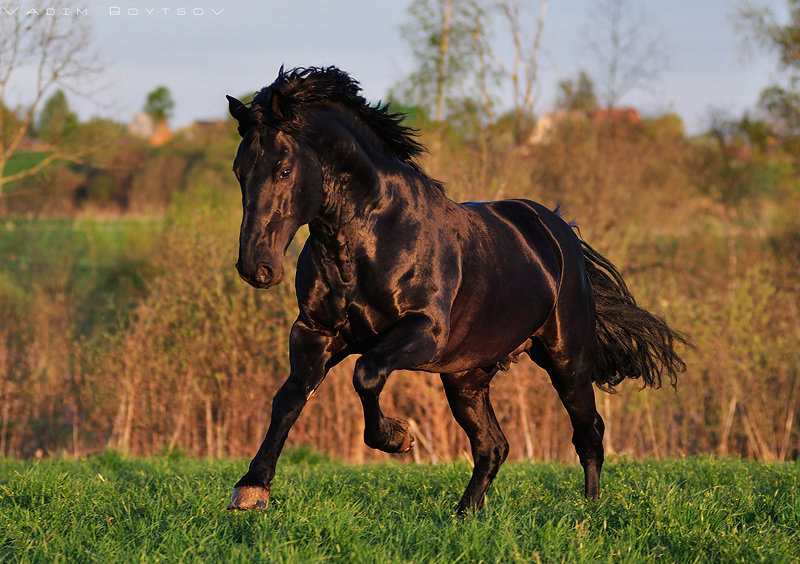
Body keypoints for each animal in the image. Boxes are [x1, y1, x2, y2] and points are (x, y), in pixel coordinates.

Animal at [225, 66, 688, 516]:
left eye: (284, 169)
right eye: (239, 171)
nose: (256, 267)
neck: (370, 239)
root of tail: (559, 232)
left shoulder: (422, 332)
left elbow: (366, 374)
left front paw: (398, 437)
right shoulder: (316, 331)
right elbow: (289, 397)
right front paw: (251, 489)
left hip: (566, 358)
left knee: (587, 430)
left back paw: (588, 513)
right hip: (467, 375)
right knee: (493, 447)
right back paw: (464, 515)